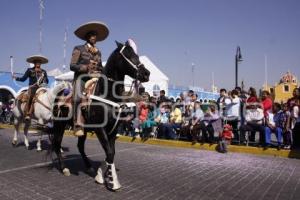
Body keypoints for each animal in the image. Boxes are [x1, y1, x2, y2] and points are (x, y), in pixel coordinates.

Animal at [51, 40, 151, 191]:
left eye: (137, 55)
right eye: (128, 55)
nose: (146, 73)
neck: (107, 93)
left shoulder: (113, 129)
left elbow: (111, 153)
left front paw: (101, 175)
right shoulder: (100, 129)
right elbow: (109, 152)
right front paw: (112, 181)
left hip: (83, 129)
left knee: (80, 146)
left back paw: (88, 167)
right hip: (59, 124)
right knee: (57, 144)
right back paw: (64, 168)